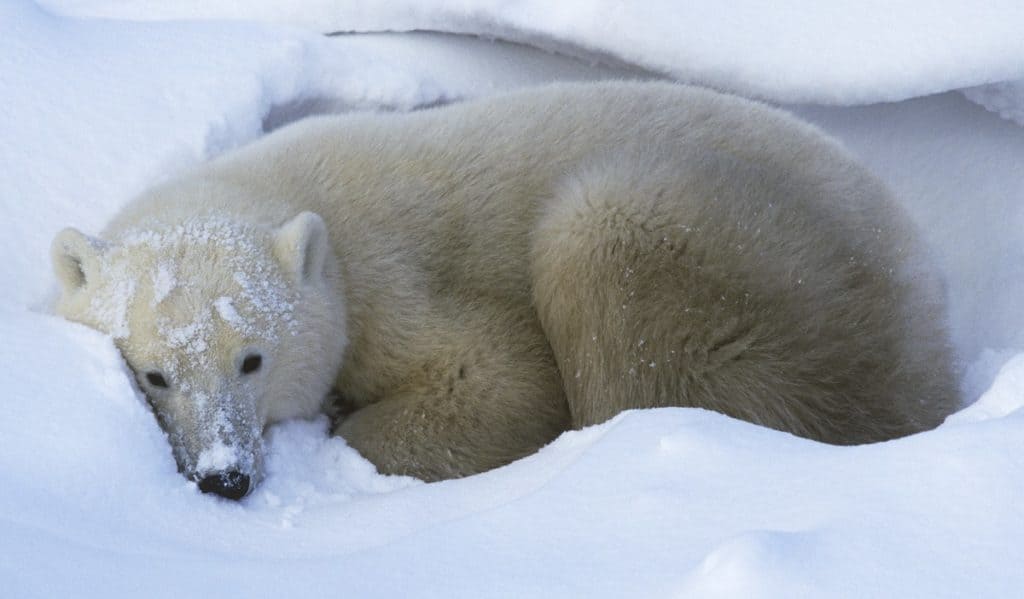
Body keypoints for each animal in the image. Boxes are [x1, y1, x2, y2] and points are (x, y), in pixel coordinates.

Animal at [51, 81, 957, 499]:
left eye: (253, 359)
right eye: (153, 374)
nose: (224, 476)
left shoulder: (395, 281)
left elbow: (504, 375)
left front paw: (348, 423)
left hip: (775, 265)